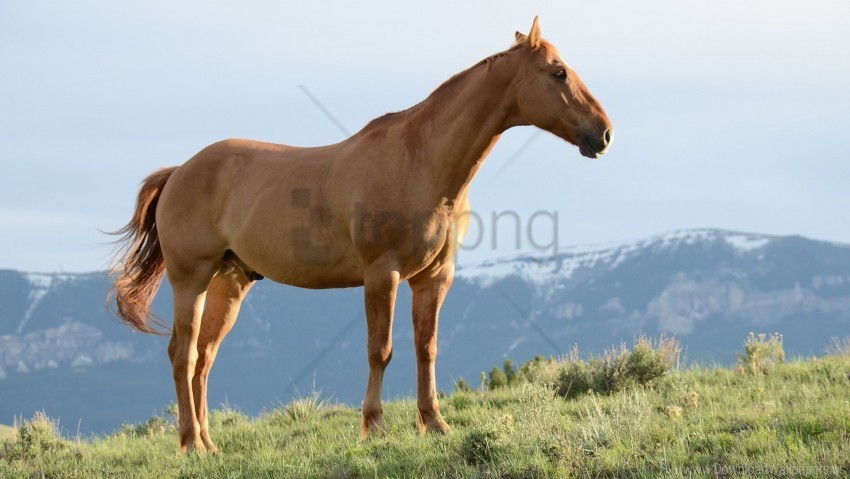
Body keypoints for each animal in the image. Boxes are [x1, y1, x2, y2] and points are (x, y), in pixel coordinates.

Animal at [109, 17, 608, 454]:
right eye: (558, 72)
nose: (603, 134)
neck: (422, 161)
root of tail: (180, 171)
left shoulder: (434, 278)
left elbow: (426, 348)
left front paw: (435, 423)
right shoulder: (382, 274)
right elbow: (380, 350)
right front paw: (375, 427)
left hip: (229, 282)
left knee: (204, 358)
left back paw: (209, 444)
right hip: (191, 278)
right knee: (183, 355)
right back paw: (191, 443)